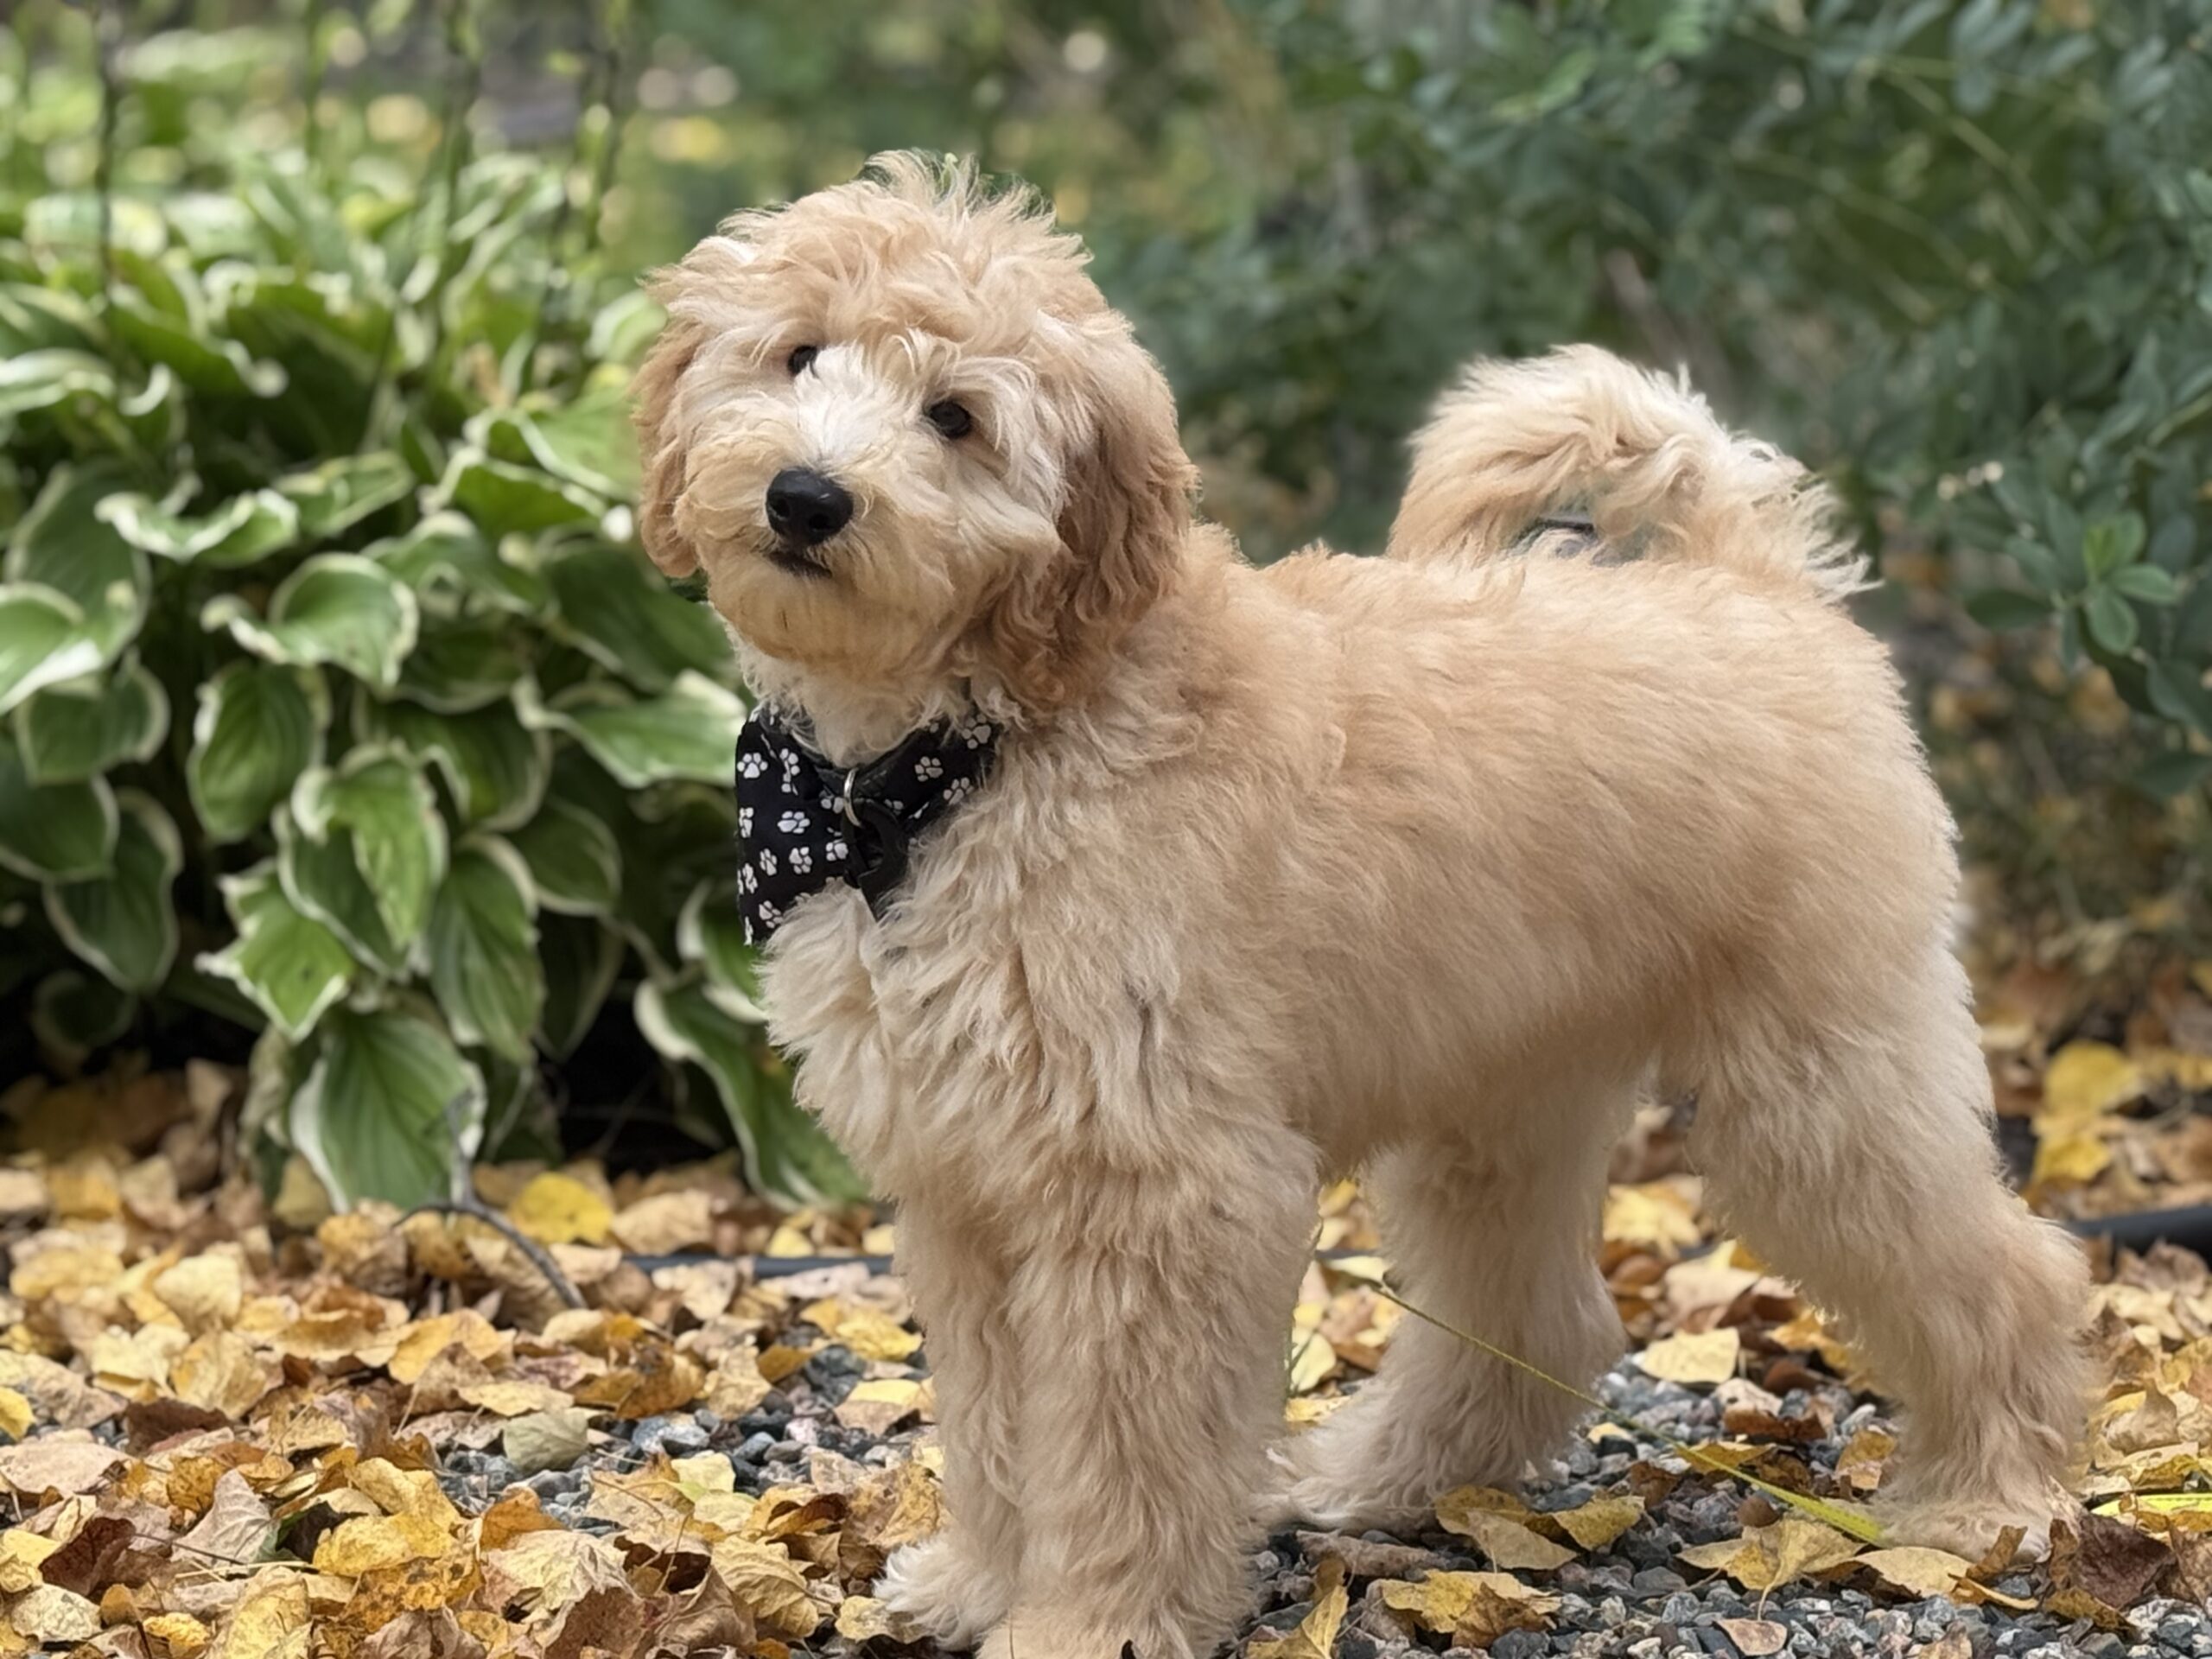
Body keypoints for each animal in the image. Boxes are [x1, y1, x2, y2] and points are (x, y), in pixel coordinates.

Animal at [634, 154, 2090, 1659]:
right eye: (799, 354)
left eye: (957, 418)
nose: (807, 498)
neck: (951, 769)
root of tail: (1751, 577)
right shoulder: (968, 1186)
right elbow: (995, 1419)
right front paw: (980, 1584)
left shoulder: (1159, 1185)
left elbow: (1118, 1441)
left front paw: (1091, 1621)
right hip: (1501, 1096)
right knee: (1542, 1321)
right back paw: (1381, 1478)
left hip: (1817, 1078)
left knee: (2006, 1267)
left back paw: (1994, 1499)